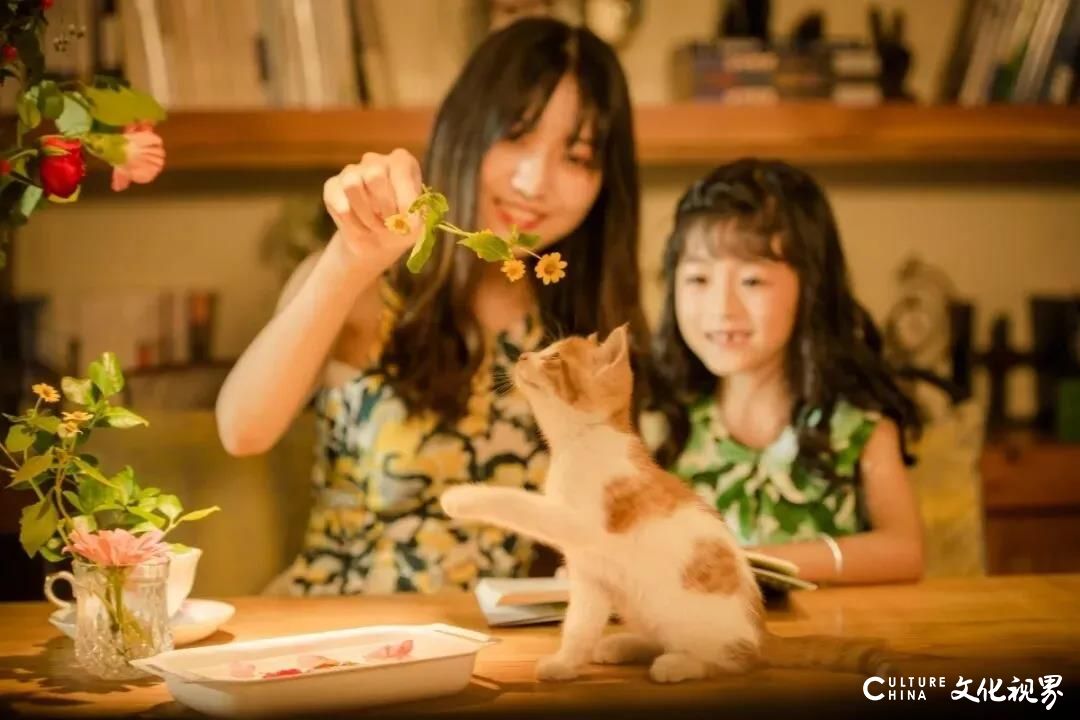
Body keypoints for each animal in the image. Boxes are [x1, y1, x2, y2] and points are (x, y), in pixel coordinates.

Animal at [442, 323, 889, 686]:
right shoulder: (591, 577)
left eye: (553, 358)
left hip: (696, 625)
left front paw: (462, 496)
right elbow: (580, 625)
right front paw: (567, 663)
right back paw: (623, 645)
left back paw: (679, 664)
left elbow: (519, 503)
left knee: (731, 661)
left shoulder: (578, 521)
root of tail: (762, 633)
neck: (581, 441)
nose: (521, 356)